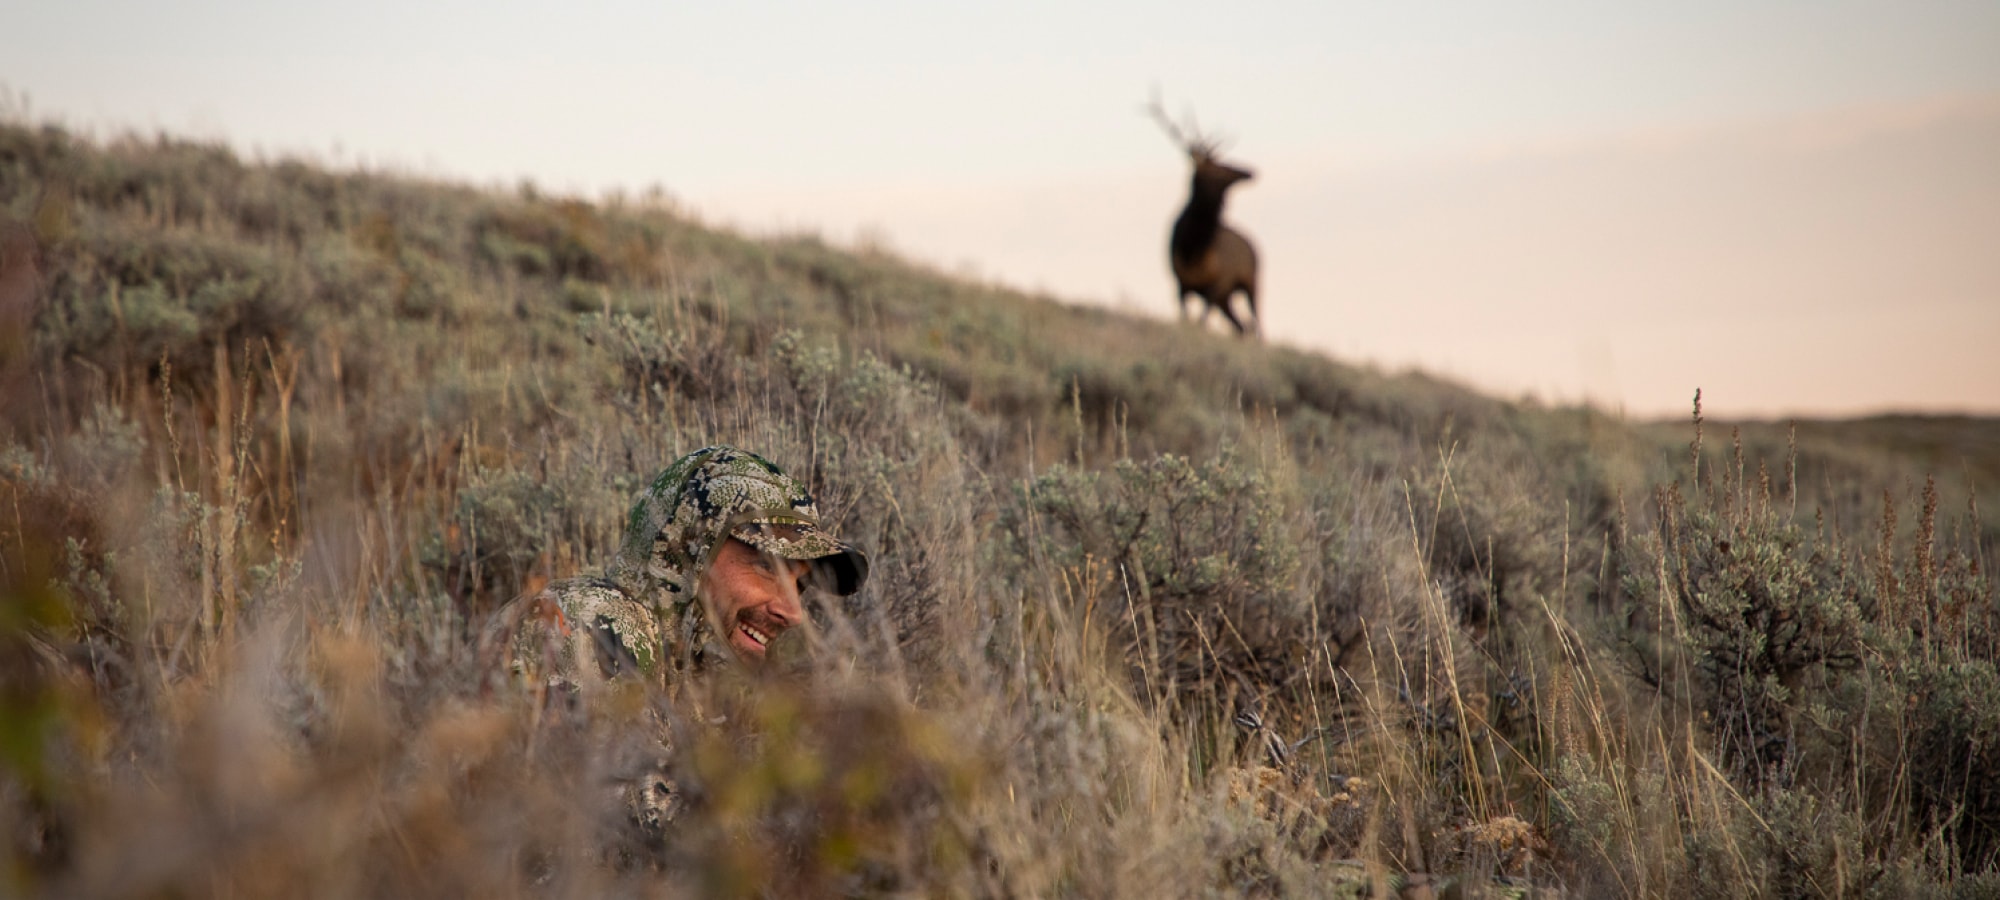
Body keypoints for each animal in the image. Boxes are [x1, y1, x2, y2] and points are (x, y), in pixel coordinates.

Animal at [1147, 95, 1260, 338]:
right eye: (1219, 166)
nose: (1250, 172)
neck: (1194, 251)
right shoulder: (1180, 281)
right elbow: (1186, 318)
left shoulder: (1218, 283)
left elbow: (1201, 321)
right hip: (1228, 297)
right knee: (1242, 326)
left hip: (1252, 283)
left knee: (1256, 324)